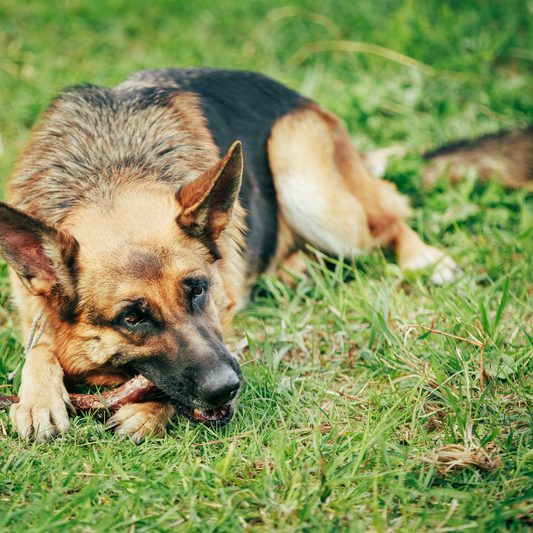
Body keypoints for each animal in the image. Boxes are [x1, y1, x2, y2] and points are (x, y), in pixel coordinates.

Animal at [1, 67, 528, 440]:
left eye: (199, 290)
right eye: (132, 318)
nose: (226, 389)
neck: (110, 172)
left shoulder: (226, 311)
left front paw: (150, 410)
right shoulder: (31, 313)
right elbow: (41, 346)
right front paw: (38, 398)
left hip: (308, 180)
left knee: (390, 216)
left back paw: (424, 259)